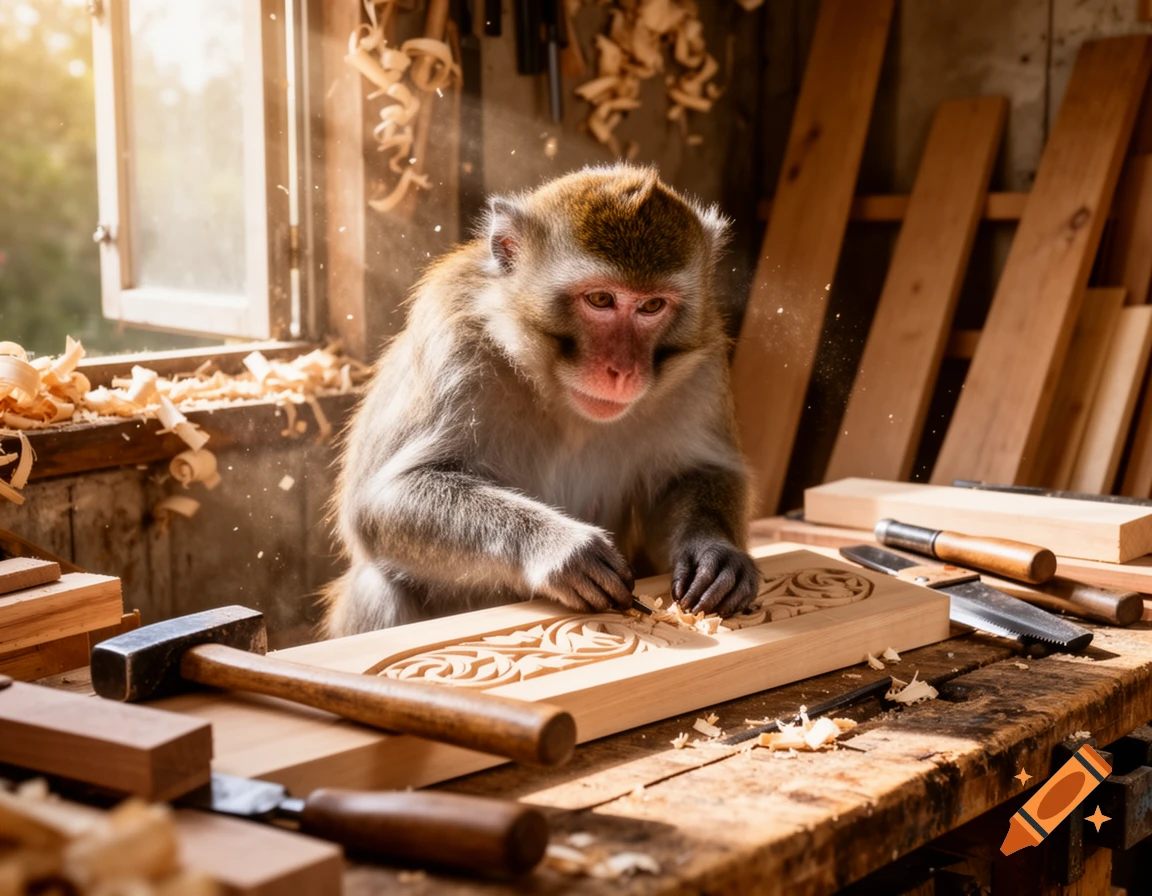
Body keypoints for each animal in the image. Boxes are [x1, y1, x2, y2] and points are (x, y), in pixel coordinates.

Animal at [323, 164, 760, 637]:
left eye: (651, 306)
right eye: (601, 299)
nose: (623, 371)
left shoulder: (703, 363)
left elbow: (696, 472)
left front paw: (715, 554)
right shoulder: (453, 341)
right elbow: (382, 498)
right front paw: (561, 547)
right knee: (377, 584)